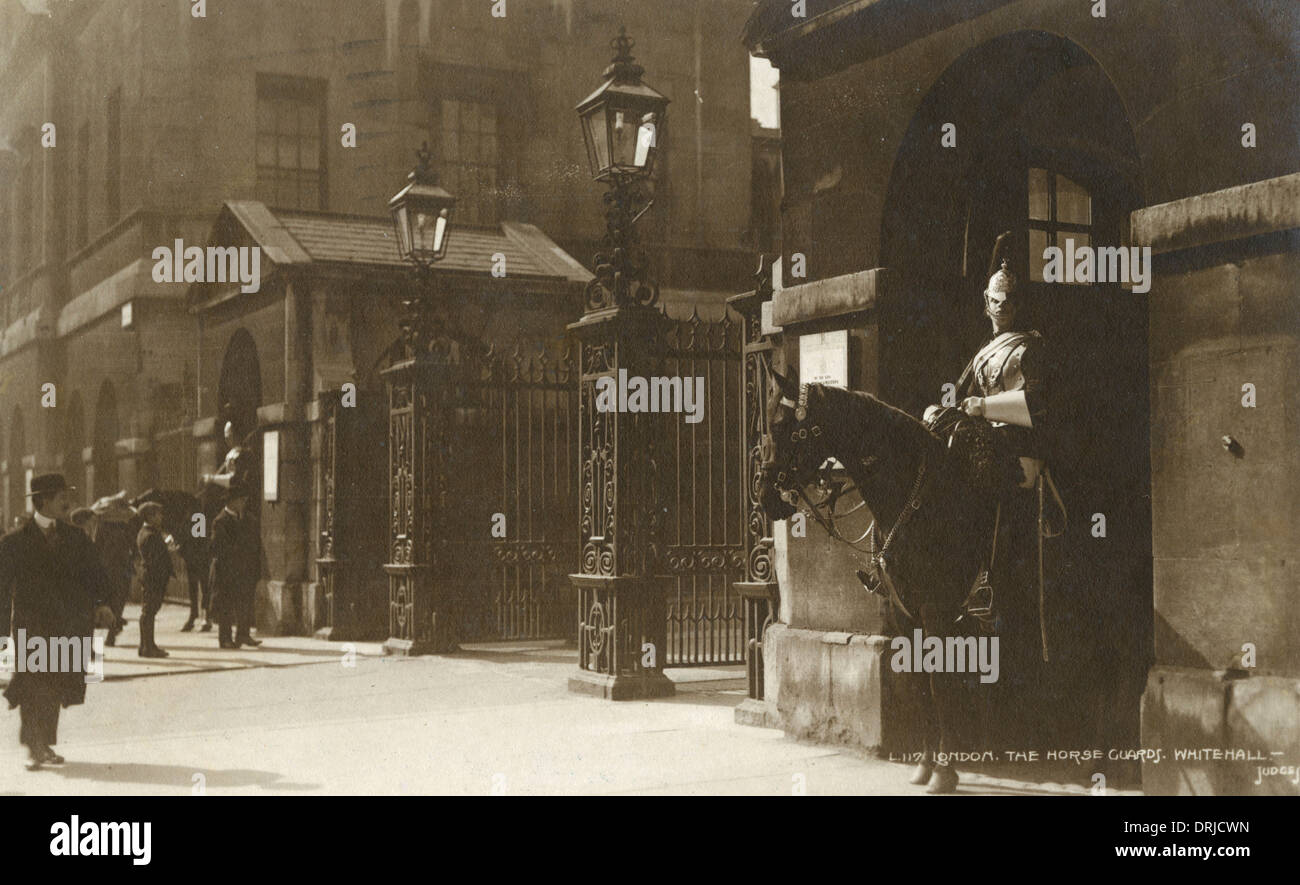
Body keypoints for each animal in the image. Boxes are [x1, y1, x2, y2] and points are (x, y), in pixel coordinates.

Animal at [759, 366, 1008, 795]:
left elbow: (940, 684)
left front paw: (945, 769)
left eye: (782, 425)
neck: (920, 498)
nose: (763, 495)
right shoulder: (904, 613)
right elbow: (920, 684)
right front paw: (926, 762)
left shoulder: (938, 611)